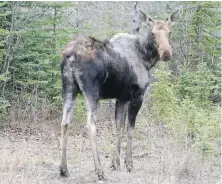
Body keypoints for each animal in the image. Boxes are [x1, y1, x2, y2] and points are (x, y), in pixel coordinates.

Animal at [59, 6, 180, 181]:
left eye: (169, 32)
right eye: (152, 33)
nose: (166, 53)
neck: (147, 59)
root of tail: (71, 56)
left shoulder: (121, 98)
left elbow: (118, 128)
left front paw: (115, 163)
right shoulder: (137, 96)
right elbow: (130, 130)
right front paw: (128, 164)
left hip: (69, 89)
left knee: (65, 122)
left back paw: (63, 169)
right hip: (91, 92)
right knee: (90, 125)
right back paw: (99, 171)